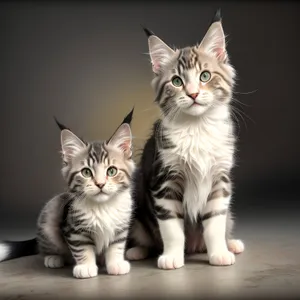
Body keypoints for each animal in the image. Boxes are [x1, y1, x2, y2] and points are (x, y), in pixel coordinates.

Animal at [0, 110, 135, 278]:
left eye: (111, 171)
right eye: (86, 172)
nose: (100, 184)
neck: (102, 206)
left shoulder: (121, 225)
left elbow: (116, 245)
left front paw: (115, 264)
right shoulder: (74, 228)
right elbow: (82, 248)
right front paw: (85, 267)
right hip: (50, 213)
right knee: (46, 249)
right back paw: (53, 258)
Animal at [126, 9, 244, 270]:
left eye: (205, 76)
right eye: (177, 81)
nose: (193, 94)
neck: (197, 127)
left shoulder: (219, 181)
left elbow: (215, 224)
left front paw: (219, 253)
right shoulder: (165, 182)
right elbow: (172, 229)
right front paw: (171, 257)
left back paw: (231, 244)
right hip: (138, 209)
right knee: (145, 238)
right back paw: (137, 251)